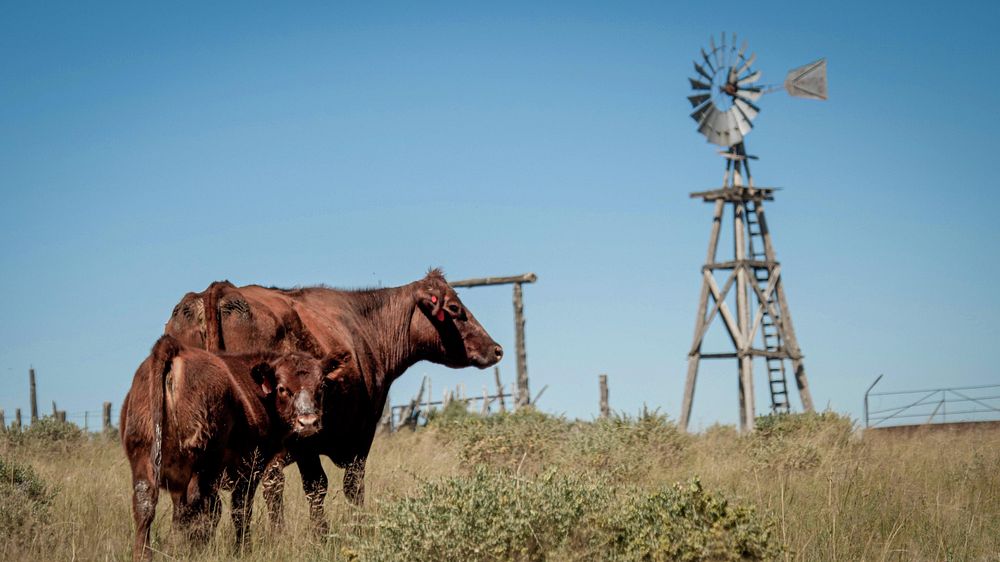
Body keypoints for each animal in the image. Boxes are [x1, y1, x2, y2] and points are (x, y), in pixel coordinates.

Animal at [120, 334, 336, 556]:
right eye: (282, 388)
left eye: (321, 386)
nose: (308, 421)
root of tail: (175, 348)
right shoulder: (250, 469)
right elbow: (240, 510)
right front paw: (243, 549)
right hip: (202, 465)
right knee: (196, 506)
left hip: (145, 458)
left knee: (147, 504)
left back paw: (145, 554)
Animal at [169, 268, 508, 528]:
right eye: (454, 308)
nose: (496, 349)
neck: (365, 328)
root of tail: (219, 291)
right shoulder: (354, 437)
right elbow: (345, 487)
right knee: (271, 486)